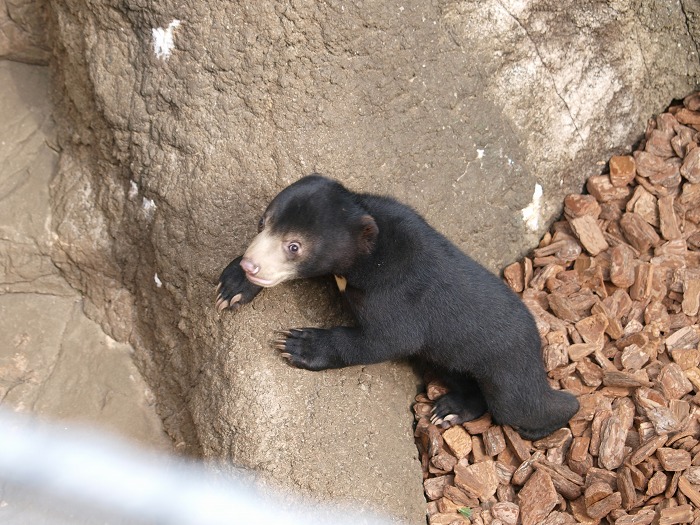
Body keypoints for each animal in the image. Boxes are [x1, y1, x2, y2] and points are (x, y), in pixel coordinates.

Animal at [219, 175, 580, 438]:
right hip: (449, 359)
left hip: (508, 365)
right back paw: (448, 410)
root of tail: (536, 341)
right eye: (262, 223)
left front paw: (300, 344)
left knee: (520, 404)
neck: (371, 249)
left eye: (294, 246)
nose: (251, 265)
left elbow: (386, 340)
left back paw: (555, 419)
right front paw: (233, 285)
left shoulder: (397, 295)